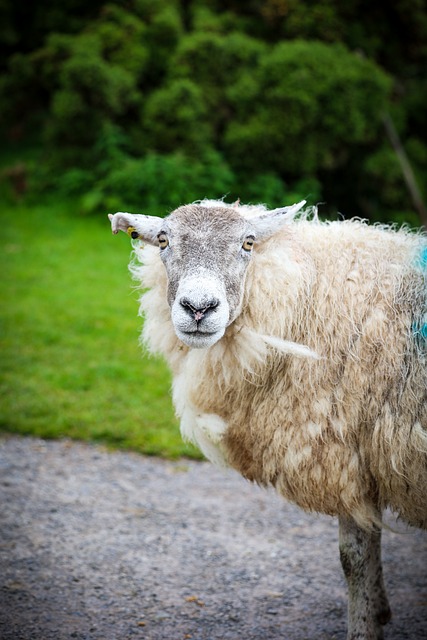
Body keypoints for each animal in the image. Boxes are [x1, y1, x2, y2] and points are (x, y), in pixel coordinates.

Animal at [108, 199, 427, 640]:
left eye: (248, 242)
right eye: (163, 241)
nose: (199, 308)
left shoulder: (343, 457)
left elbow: (353, 560)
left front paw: (365, 623)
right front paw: (380, 610)